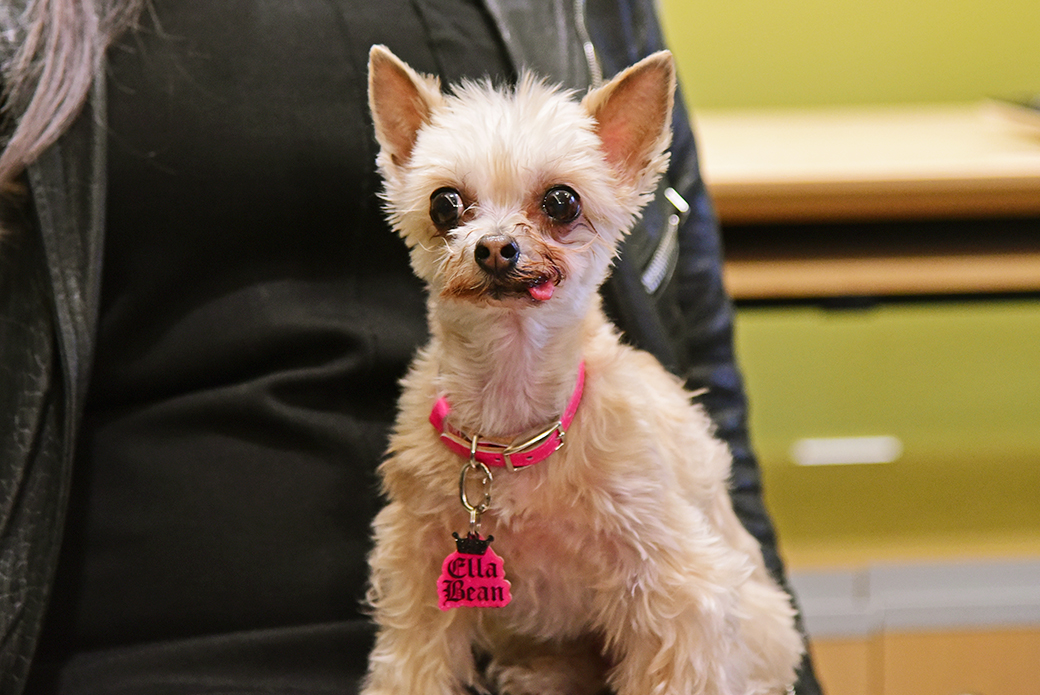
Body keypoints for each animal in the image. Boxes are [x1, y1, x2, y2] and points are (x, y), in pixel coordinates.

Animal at [364, 44, 802, 695]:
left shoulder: (679, 594)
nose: (494, 248)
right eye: (445, 203)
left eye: (561, 201)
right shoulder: (418, 574)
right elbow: (409, 668)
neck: (514, 423)